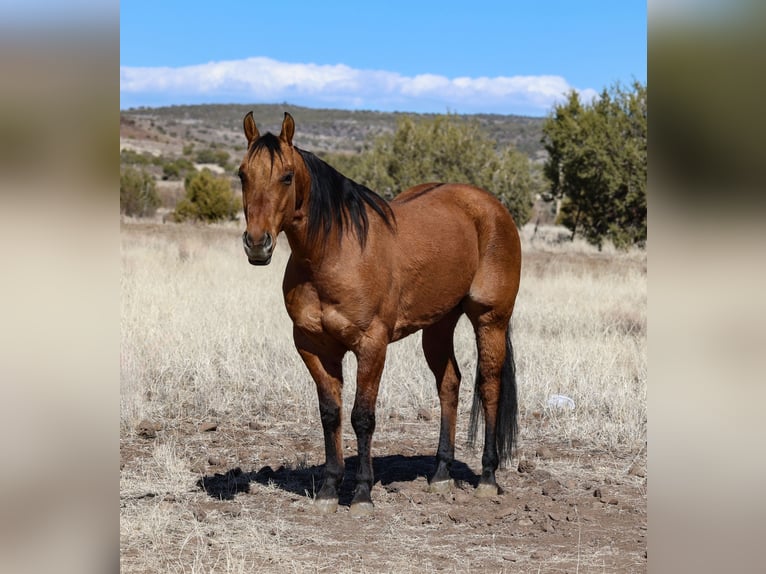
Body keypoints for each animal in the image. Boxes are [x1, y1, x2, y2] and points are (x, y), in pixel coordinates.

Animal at [240, 111, 520, 516]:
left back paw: (487, 477)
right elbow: (330, 413)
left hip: (490, 319)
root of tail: (491, 207)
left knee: (490, 387)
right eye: (242, 174)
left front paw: (361, 493)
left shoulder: (371, 346)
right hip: (439, 325)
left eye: (287, 176)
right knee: (449, 385)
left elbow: (362, 416)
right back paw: (440, 474)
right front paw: (328, 489)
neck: (332, 252)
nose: (257, 244)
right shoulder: (313, 347)